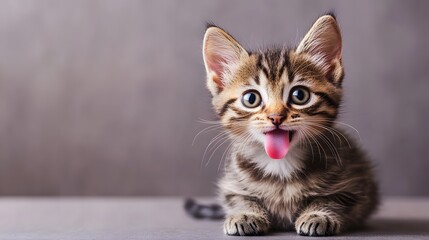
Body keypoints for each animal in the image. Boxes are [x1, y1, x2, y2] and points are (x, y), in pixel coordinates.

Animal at [201, 13, 378, 236]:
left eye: (299, 95)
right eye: (251, 98)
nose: (276, 117)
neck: (280, 167)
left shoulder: (353, 183)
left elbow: (331, 199)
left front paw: (318, 215)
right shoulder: (232, 184)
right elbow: (240, 199)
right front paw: (246, 214)